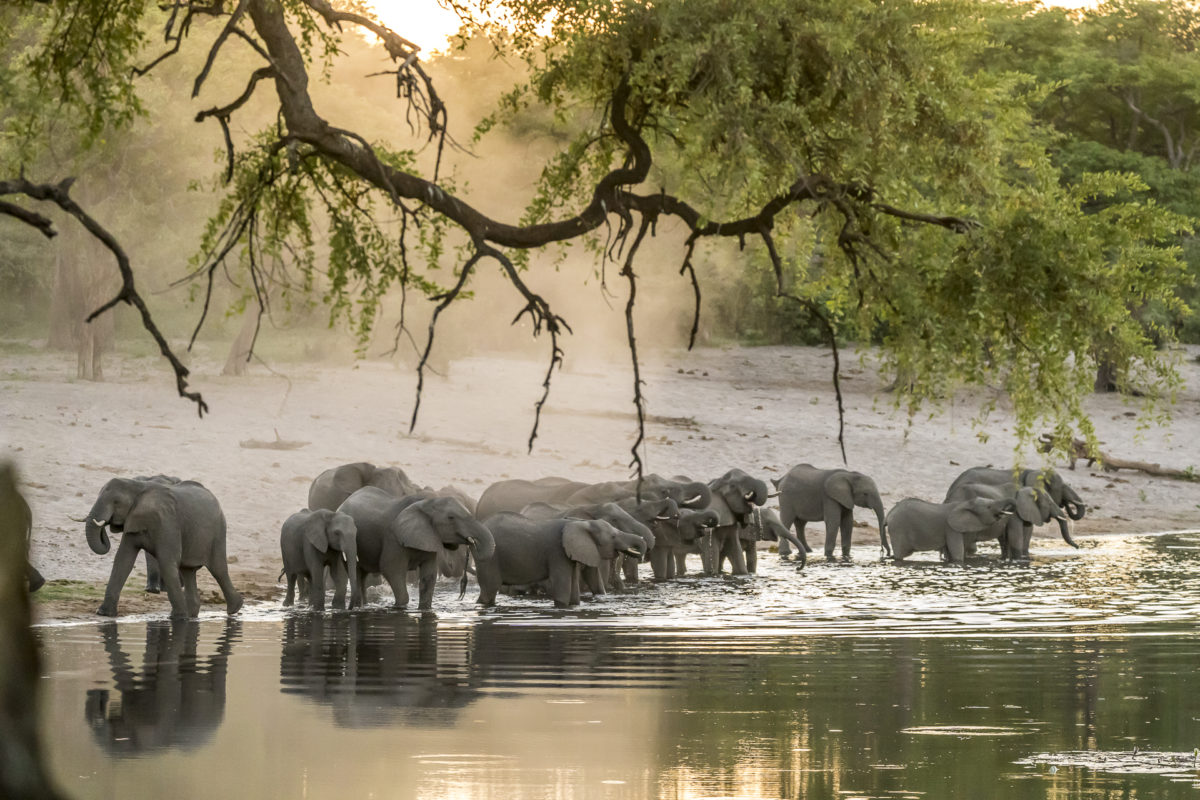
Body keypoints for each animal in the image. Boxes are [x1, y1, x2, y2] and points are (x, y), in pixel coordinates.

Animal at [84, 474, 241, 618]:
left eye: (116, 502)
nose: (105, 523)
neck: (138, 487)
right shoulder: (133, 520)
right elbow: (123, 561)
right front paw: (103, 613)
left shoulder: (168, 522)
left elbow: (167, 562)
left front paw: (178, 618)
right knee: (188, 571)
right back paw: (193, 614)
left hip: (218, 530)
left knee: (218, 569)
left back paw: (234, 609)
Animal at [336, 489, 494, 614]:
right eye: (451, 518)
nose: (472, 542)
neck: (426, 503)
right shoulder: (393, 538)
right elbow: (391, 569)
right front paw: (400, 608)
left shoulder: (430, 536)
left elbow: (428, 578)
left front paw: (424, 609)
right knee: (357, 574)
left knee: (362, 576)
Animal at [477, 513, 648, 606]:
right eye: (613, 536)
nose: (641, 554)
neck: (580, 523)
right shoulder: (557, 552)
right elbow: (562, 589)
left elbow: (574, 592)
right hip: (490, 558)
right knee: (489, 589)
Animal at [888, 494, 1017, 563]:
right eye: (989, 507)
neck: (965, 503)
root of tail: (889, 514)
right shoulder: (951, 529)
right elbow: (957, 555)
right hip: (897, 529)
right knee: (899, 554)